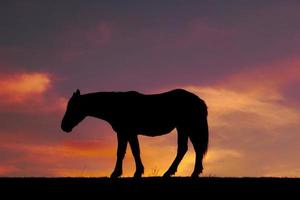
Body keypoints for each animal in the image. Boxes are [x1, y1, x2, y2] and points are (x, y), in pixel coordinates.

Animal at [61, 88, 209, 177]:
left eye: (72, 107)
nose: (63, 126)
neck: (116, 105)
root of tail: (198, 100)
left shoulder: (125, 132)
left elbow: (125, 152)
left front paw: (119, 173)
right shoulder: (129, 133)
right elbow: (132, 151)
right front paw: (135, 171)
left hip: (188, 127)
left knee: (195, 148)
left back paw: (190, 172)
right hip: (182, 128)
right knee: (185, 149)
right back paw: (174, 172)